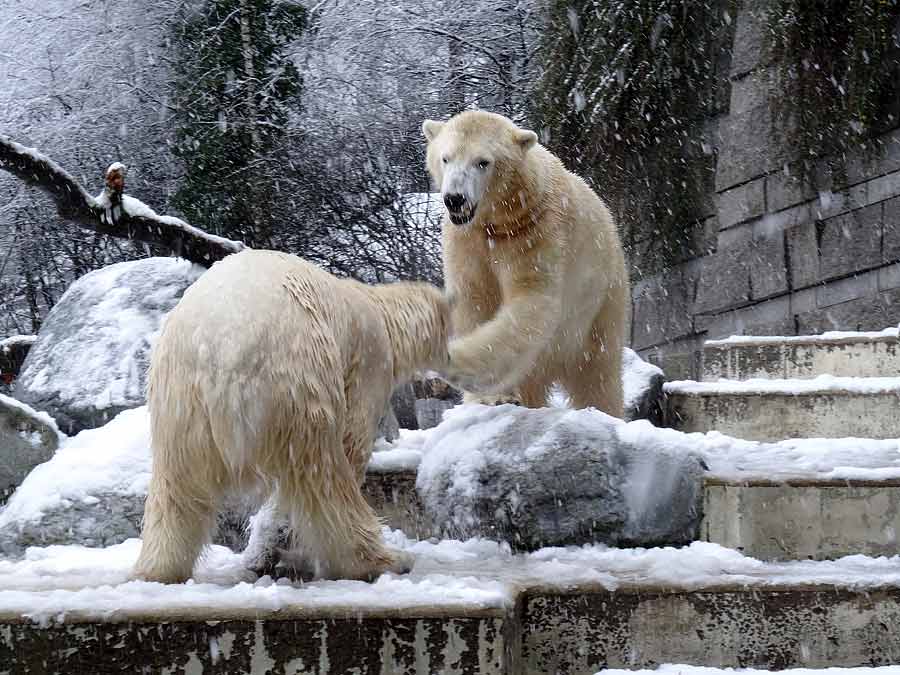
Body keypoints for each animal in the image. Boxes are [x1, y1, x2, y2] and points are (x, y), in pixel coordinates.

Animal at [133, 251, 450, 584]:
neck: (382, 311)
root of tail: (219, 351)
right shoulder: (369, 361)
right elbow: (353, 440)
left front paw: (266, 549)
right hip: (297, 377)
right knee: (322, 471)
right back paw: (381, 560)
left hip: (178, 403)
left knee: (176, 485)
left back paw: (158, 570)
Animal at [424, 111, 628, 418]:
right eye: (446, 158)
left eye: (482, 162)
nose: (455, 199)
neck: (499, 221)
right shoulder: (467, 243)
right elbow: (474, 302)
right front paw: (489, 397)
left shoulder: (536, 236)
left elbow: (531, 303)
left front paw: (453, 362)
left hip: (600, 304)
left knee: (597, 372)